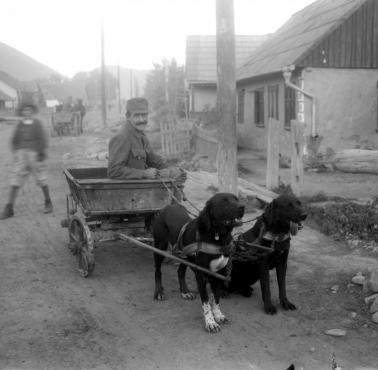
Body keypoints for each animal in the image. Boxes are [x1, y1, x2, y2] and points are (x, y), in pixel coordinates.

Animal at [152, 194, 244, 332]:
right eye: (224, 202)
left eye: (236, 199)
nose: (242, 206)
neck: (217, 237)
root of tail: (167, 207)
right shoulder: (201, 275)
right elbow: (206, 302)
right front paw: (210, 322)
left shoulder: (219, 274)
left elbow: (216, 298)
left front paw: (218, 315)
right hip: (160, 246)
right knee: (158, 271)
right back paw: (158, 292)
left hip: (185, 256)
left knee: (180, 271)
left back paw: (185, 291)